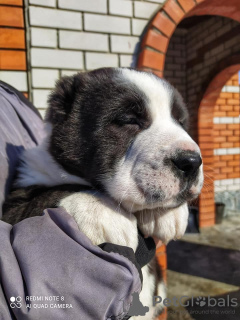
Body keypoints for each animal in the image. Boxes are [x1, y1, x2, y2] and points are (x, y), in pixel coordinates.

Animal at [2, 68, 203, 320]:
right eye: (129, 120)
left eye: (182, 122)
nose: (192, 162)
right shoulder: (15, 202)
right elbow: (53, 191)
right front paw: (102, 211)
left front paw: (167, 214)